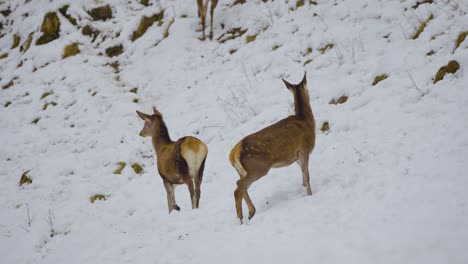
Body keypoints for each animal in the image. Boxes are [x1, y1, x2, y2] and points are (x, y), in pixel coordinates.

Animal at [229, 72, 316, 223]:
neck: (306, 120)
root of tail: (234, 153)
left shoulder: (296, 157)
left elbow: (302, 175)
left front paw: (303, 188)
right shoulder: (304, 150)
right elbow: (307, 176)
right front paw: (310, 195)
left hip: (243, 171)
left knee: (242, 186)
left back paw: (251, 212)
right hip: (258, 167)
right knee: (239, 186)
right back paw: (241, 218)